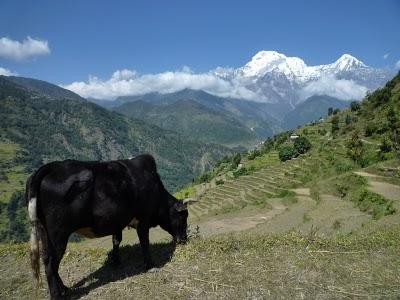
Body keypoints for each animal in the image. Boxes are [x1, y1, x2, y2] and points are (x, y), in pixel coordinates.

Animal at [25, 155, 195, 300]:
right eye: (183, 216)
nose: (184, 239)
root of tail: (52, 166)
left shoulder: (117, 220)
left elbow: (116, 240)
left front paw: (115, 261)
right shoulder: (143, 219)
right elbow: (144, 242)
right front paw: (150, 265)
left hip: (44, 232)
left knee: (48, 260)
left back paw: (65, 288)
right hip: (58, 233)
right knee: (50, 263)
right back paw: (57, 295)